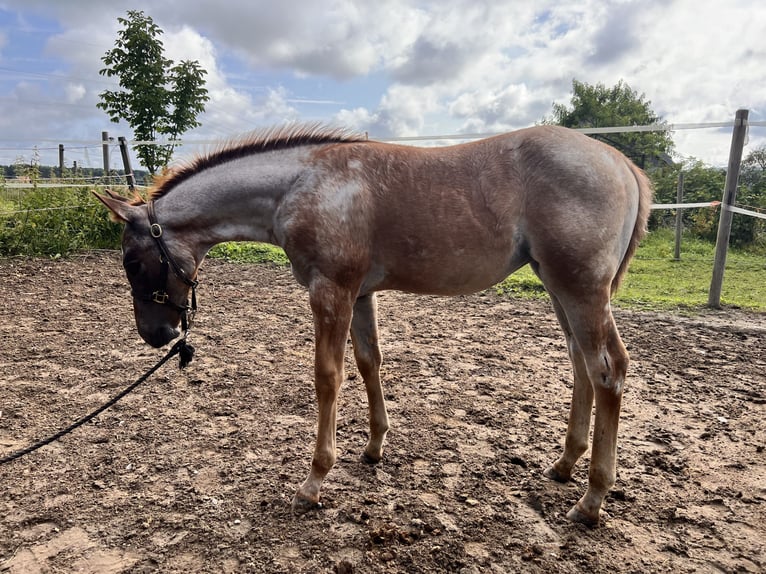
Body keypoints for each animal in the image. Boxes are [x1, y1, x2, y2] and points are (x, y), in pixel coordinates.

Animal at [97, 124, 656, 528]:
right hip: (559, 288)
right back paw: (564, 466)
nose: (156, 335)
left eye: (131, 260)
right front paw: (373, 447)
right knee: (581, 365)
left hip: (581, 289)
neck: (302, 186)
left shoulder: (331, 291)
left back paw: (591, 500)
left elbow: (329, 377)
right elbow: (370, 363)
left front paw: (313, 483)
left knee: (608, 369)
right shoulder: (361, 294)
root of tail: (624, 166)